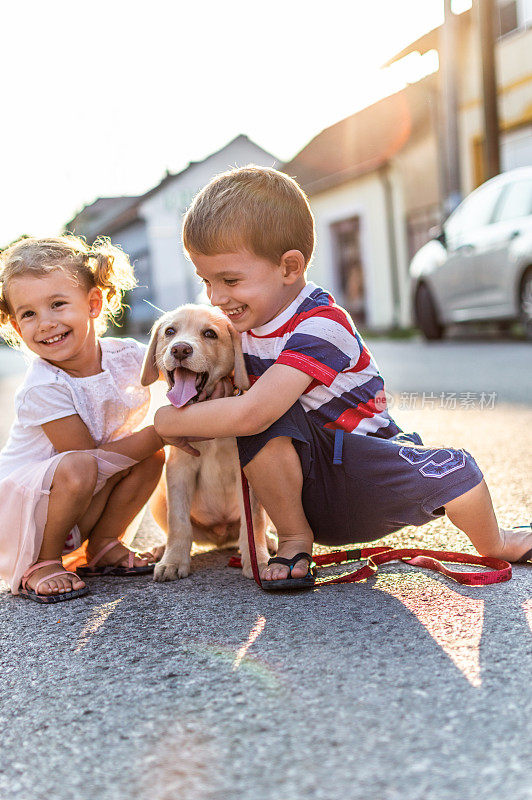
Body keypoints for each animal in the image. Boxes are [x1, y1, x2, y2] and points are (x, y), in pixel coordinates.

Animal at [141, 306, 274, 580]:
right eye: (170, 331)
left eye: (210, 334)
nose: (180, 350)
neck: (206, 410)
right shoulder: (179, 470)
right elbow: (178, 522)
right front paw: (173, 561)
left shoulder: (246, 471)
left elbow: (254, 522)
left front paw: (259, 560)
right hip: (158, 500)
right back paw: (160, 549)